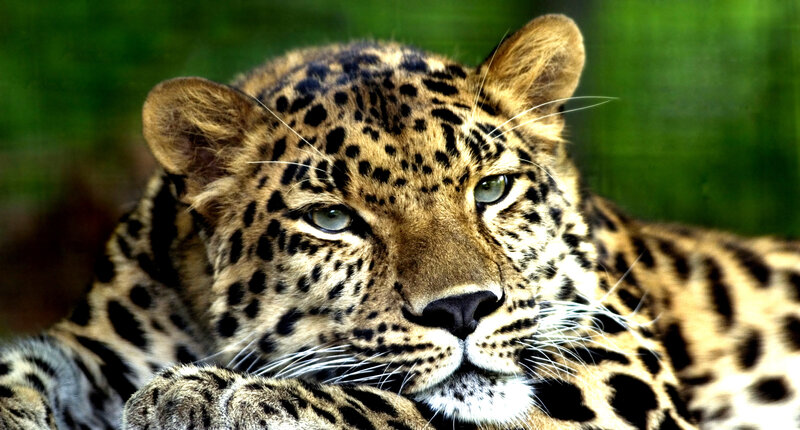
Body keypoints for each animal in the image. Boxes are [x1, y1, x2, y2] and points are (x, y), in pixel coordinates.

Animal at [1, 13, 799, 429]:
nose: (464, 309)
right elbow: (25, 365)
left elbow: (399, 404)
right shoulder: (99, 348)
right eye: (332, 220)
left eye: (492, 189)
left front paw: (226, 396)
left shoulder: (619, 361)